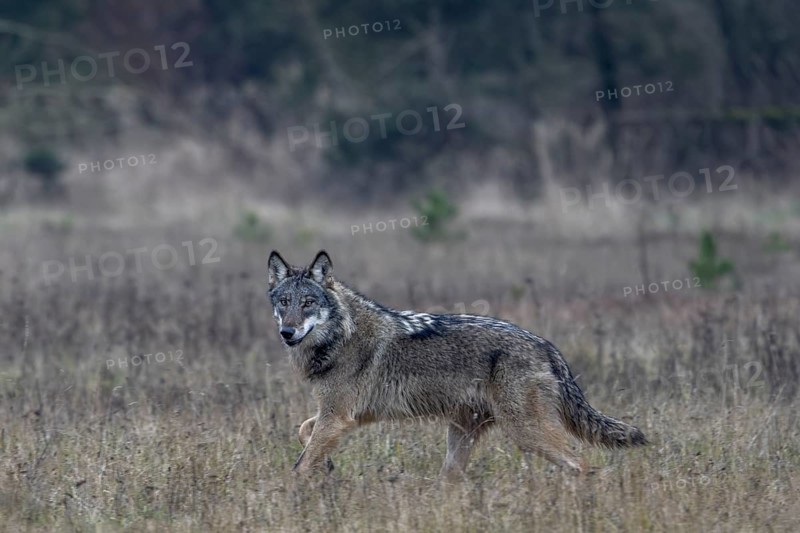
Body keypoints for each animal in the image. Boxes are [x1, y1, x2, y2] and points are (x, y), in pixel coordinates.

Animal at [267, 250, 647, 478]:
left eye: (308, 303)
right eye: (284, 302)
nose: (287, 332)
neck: (340, 335)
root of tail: (547, 346)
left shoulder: (338, 417)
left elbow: (299, 467)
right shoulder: (340, 416)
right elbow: (304, 432)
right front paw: (327, 464)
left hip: (526, 433)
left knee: (581, 464)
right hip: (461, 443)